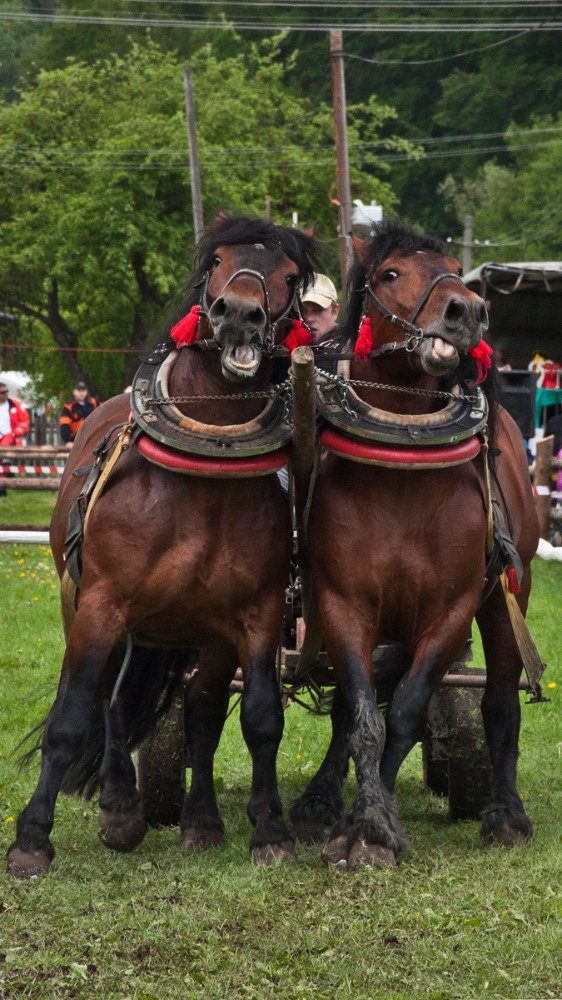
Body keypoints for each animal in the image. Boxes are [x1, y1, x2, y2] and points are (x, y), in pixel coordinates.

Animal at [7, 214, 319, 879]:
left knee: (196, 712)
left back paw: (197, 819)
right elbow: (72, 717)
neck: (201, 473)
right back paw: (121, 807)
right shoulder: (100, 607)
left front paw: (269, 830)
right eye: (217, 261)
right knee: (109, 701)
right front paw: (32, 838)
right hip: (97, 610)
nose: (240, 313)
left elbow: (258, 717)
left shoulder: (253, 617)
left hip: (197, 634)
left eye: (287, 275)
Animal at [289, 220, 539, 870]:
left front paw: (372, 828)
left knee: (499, 701)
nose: (467, 311)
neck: (400, 473)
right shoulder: (343, 604)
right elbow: (360, 717)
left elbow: (403, 715)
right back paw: (320, 796)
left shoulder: (450, 611)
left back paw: (505, 812)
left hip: (509, 594)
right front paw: (352, 819)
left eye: (454, 267)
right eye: (391, 274)